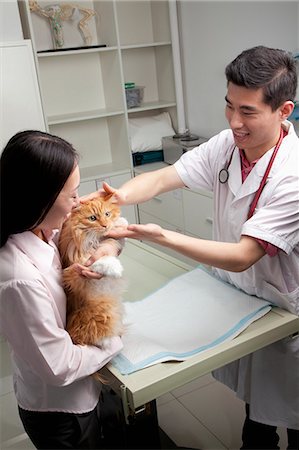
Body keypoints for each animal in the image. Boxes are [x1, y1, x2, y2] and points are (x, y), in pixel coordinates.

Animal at [58, 197, 127, 352]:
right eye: (93, 218)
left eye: (107, 214)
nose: (105, 225)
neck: (93, 240)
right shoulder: (75, 269)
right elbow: (99, 261)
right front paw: (116, 268)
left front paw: (121, 222)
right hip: (101, 313)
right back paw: (107, 341)